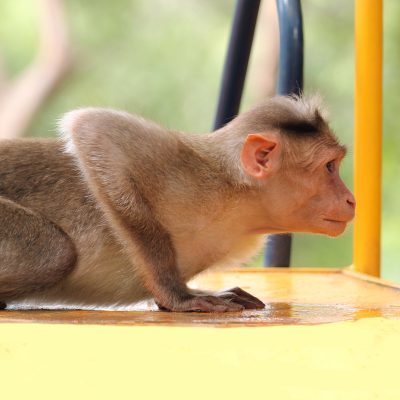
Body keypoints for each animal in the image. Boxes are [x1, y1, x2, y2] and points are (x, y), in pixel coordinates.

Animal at [0, 95, 354, 310]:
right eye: (329, 167)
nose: (351, 200)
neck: (239, 199)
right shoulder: (190, 171)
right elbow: (94, 129)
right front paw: (178, 295)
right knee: (55, 253)